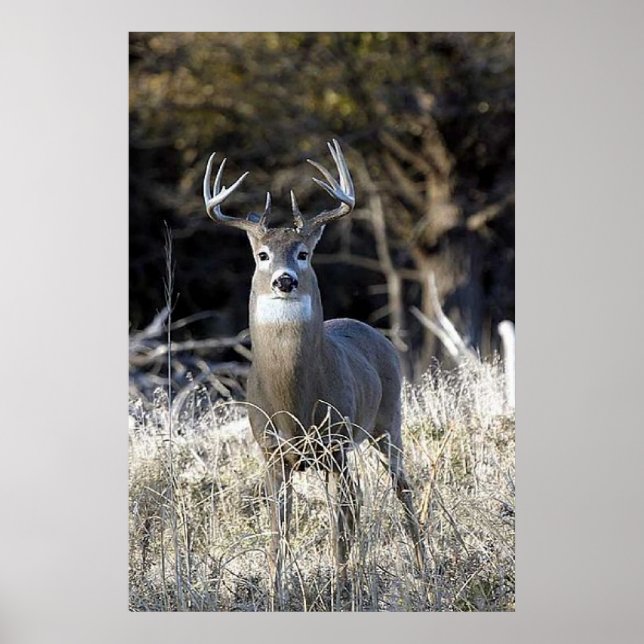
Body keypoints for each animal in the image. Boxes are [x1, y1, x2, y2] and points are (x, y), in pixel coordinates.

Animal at [202, 140, 426, 606]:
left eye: (303, 253)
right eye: (262, 255)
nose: (285, 280)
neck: (293, 404)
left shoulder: (335, 442)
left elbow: (338, 523)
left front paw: (340, 587)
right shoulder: (270, 451)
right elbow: (278, 528)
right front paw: (276, 592)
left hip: (387, 420)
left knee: (398, 489)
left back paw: (422, 569)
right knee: (357, 500)